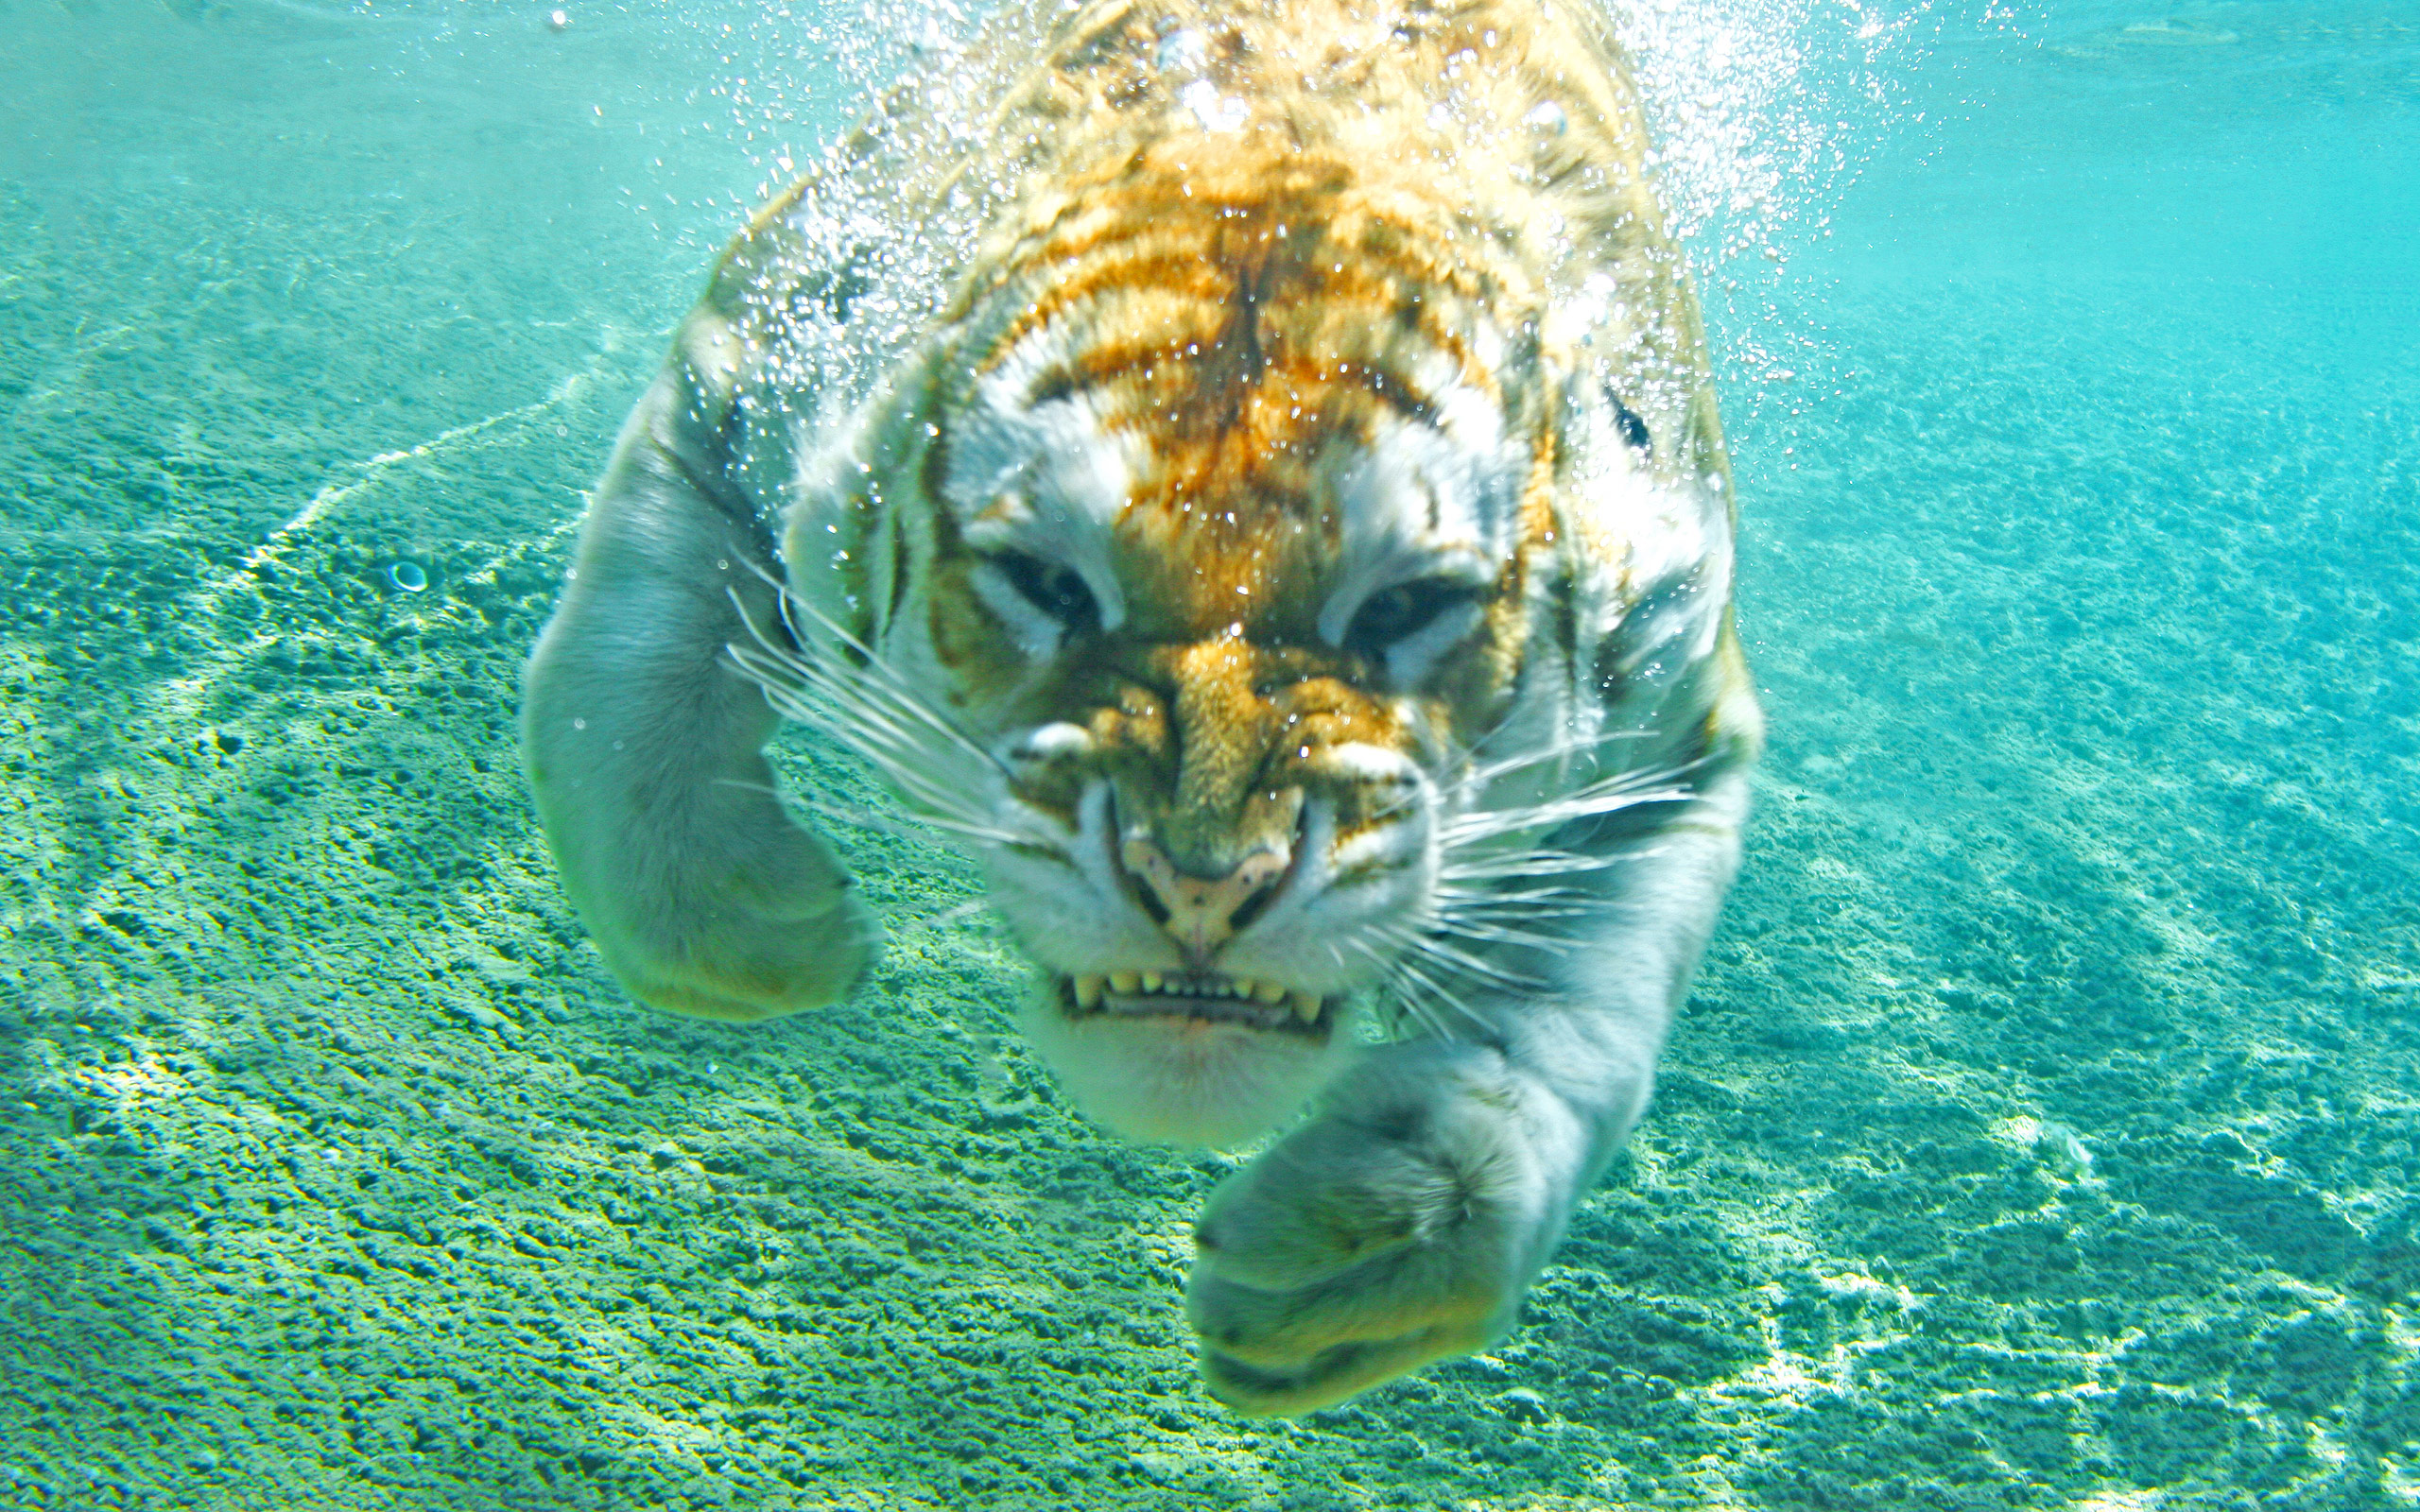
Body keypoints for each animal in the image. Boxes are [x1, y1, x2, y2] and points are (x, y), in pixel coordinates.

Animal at [525, 0, 1761, 1413]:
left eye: (1401, 608)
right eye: (1050, 585)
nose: (1204, 884)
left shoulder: (1683, 717)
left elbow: (1580, 1034)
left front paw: (1362, 1255)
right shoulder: (741, 378)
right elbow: (608, 690)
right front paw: (771, 935)